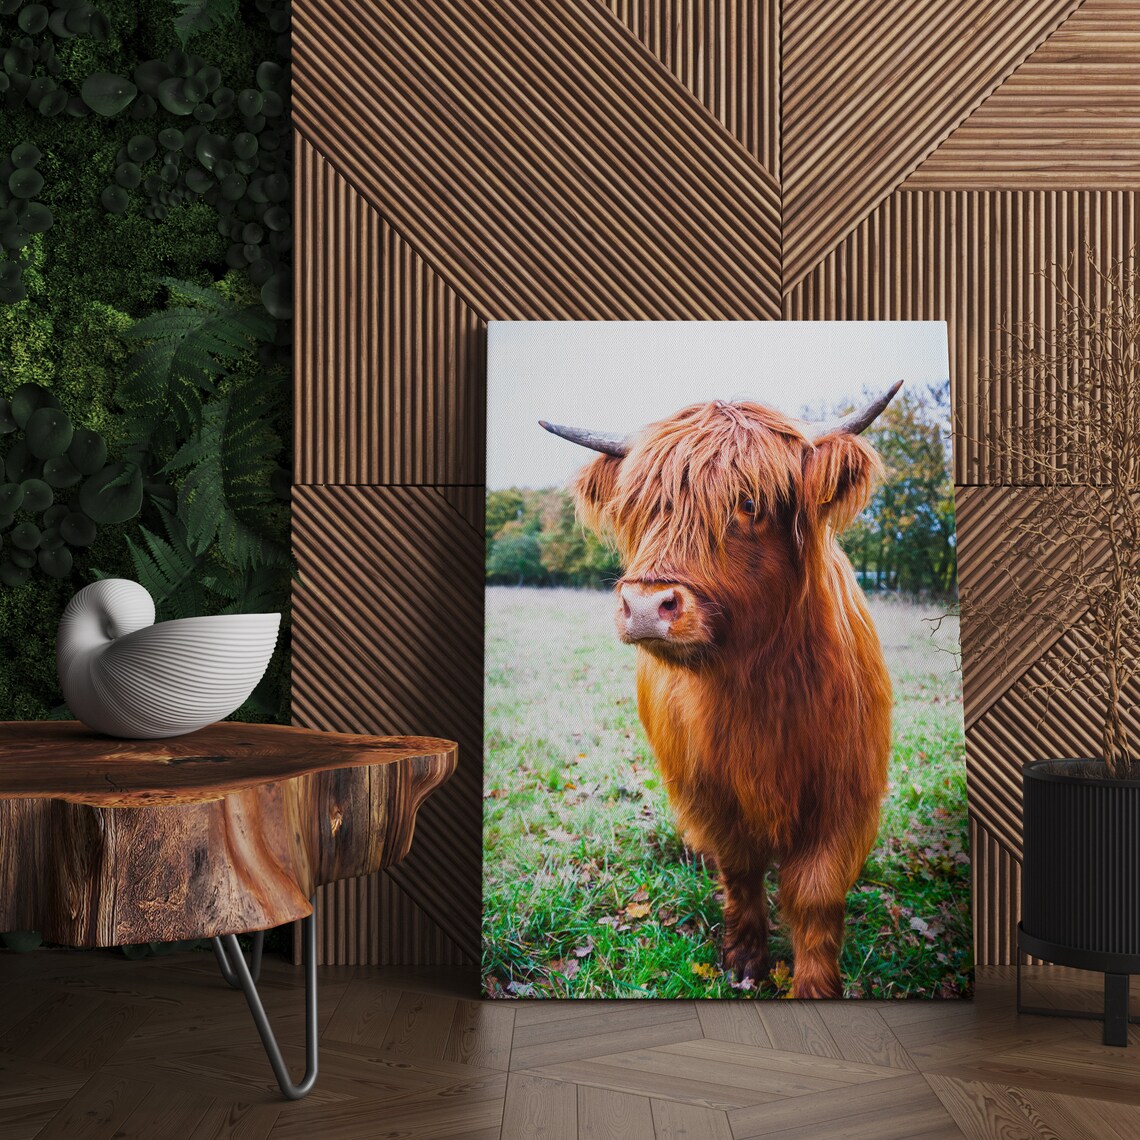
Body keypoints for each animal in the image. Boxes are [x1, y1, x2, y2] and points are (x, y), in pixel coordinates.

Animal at [540, 384, 899, 998]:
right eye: (640, 506)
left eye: (749, 503)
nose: (644, 606)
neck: (760, 687)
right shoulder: (710, 791)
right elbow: (741, 870)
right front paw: (745, 957)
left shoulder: (844, 793)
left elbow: (816, 895)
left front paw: (814, 988)